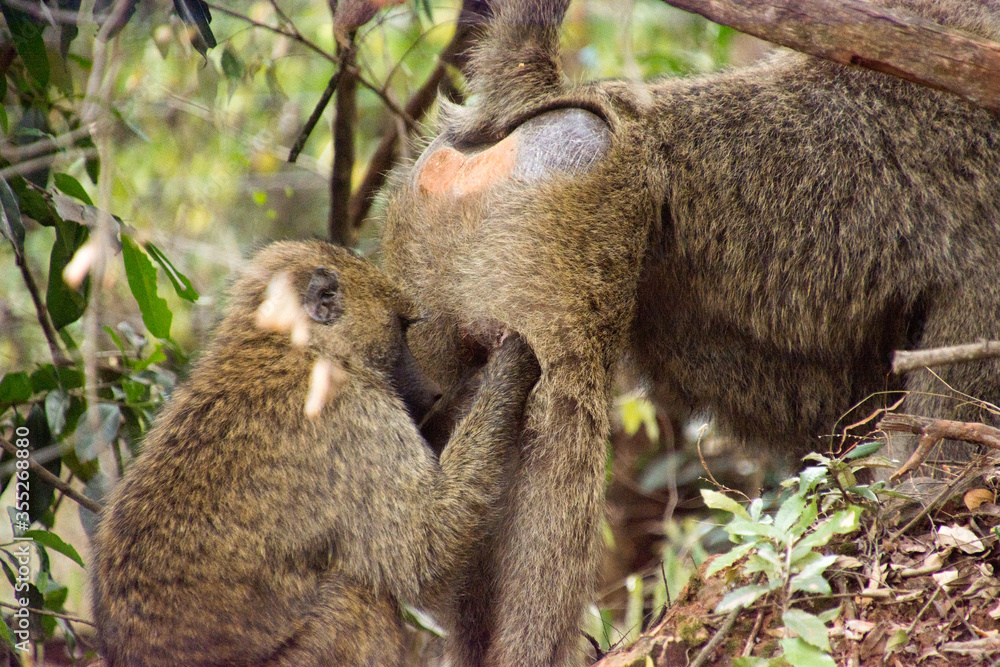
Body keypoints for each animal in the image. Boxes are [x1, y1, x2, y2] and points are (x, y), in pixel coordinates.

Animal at [89, 239, 541, 667]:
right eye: (400, 328)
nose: (433, 391)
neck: (292, 346)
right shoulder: (356, 412)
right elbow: (425, 550)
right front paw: (507, 367)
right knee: (358, 598)